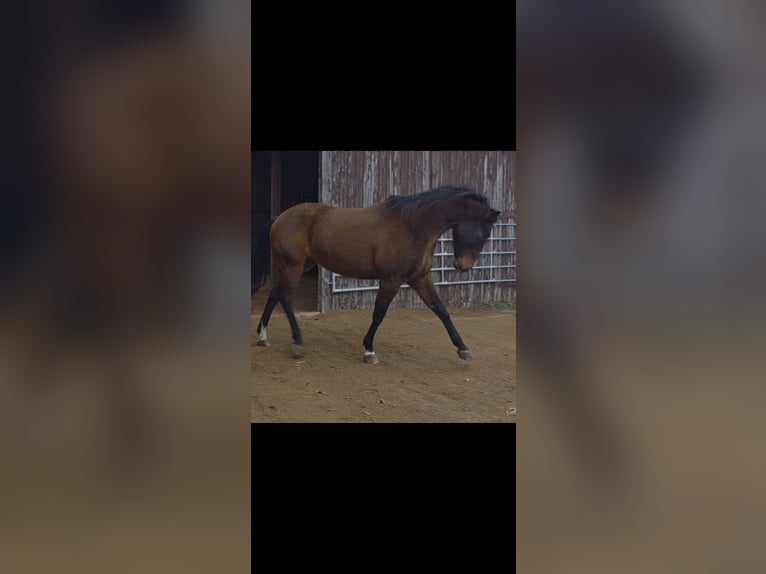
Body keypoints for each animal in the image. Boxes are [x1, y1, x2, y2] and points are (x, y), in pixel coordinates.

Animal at [251, 186, 501, 364]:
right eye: (484, 233)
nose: (463, 266)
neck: (412, 227)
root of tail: (280, 218)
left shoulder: (420, 279)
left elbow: (441, 311)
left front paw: (463, 348)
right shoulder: (391, 280)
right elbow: (379, 313)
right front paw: (369, 351)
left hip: (296, 265)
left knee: (274, 294)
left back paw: (263, 337)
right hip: (293, 266)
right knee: (285, 297)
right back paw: (297, 342)